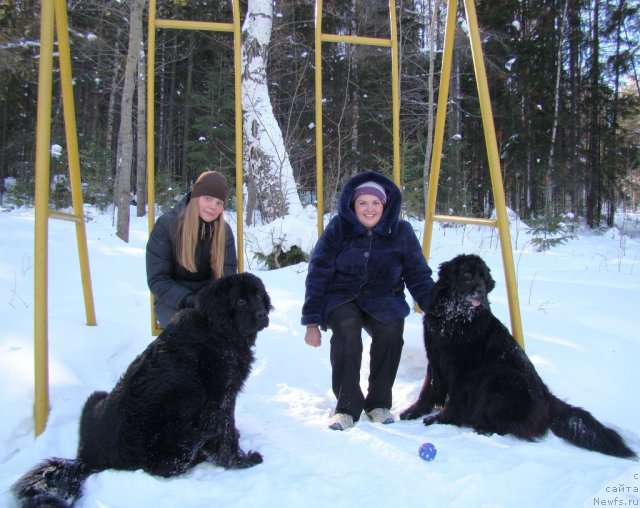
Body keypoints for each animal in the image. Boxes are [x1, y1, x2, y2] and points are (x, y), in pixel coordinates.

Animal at [13, 274, 272, 508]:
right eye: (241, 301)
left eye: (260, 297)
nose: (263, 314)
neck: (217, 329)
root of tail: (86, 459)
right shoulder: (220, 399)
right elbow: (225, 434)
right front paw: (242, 461)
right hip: (177, 435)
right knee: (168, 465)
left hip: (95, 397)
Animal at [400, 254, 636, 460]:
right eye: (467, 274)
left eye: (483, 278)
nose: (480, 290)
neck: (454, 319)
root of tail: (547, 395)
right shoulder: (436, 359)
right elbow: (428, 390)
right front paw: (414, 412)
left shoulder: (463, 370)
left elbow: (455, 399)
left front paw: (442, 419)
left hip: (499, 381)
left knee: (516, 426)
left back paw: (483, 427)